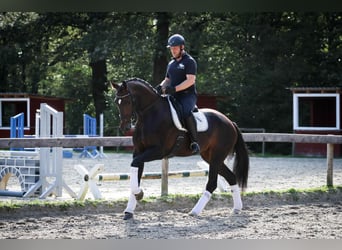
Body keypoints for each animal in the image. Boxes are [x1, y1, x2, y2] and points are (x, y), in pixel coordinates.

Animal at [112, 77, 248, 220]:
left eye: (127, 101)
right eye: (117, 102)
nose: (125, 127)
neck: (150, 113)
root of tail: (230, 122)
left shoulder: (158, 151)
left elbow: (135, 165)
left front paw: (138, 194)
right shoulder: (139, 151)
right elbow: (136, 172)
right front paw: (129, 209)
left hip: (217, 157)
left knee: (212, 183)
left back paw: (194, 211)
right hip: (211, 157)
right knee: (231, 177)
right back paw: (237, 208)